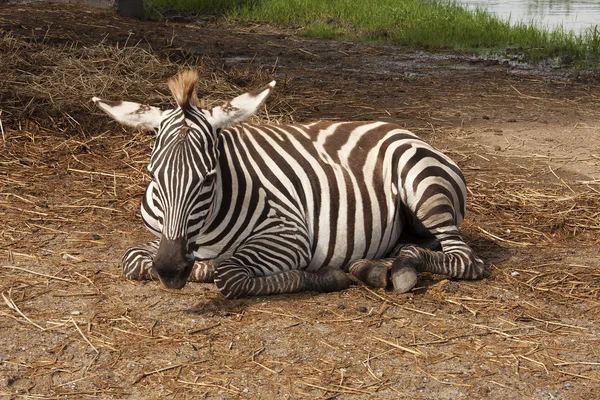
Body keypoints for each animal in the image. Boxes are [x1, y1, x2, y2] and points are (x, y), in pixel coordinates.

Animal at [95, 70, 488, 298]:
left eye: (208, 178)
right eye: (152, 175)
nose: (171, 271)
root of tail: (401, 129)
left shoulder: (289, 235)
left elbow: (230, 275)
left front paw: (321, 277)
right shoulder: (164, 238)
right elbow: (132, 260)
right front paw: (199, 268)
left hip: (423, 186)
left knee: (464, 260)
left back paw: (402, 267)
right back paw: (373, 266)